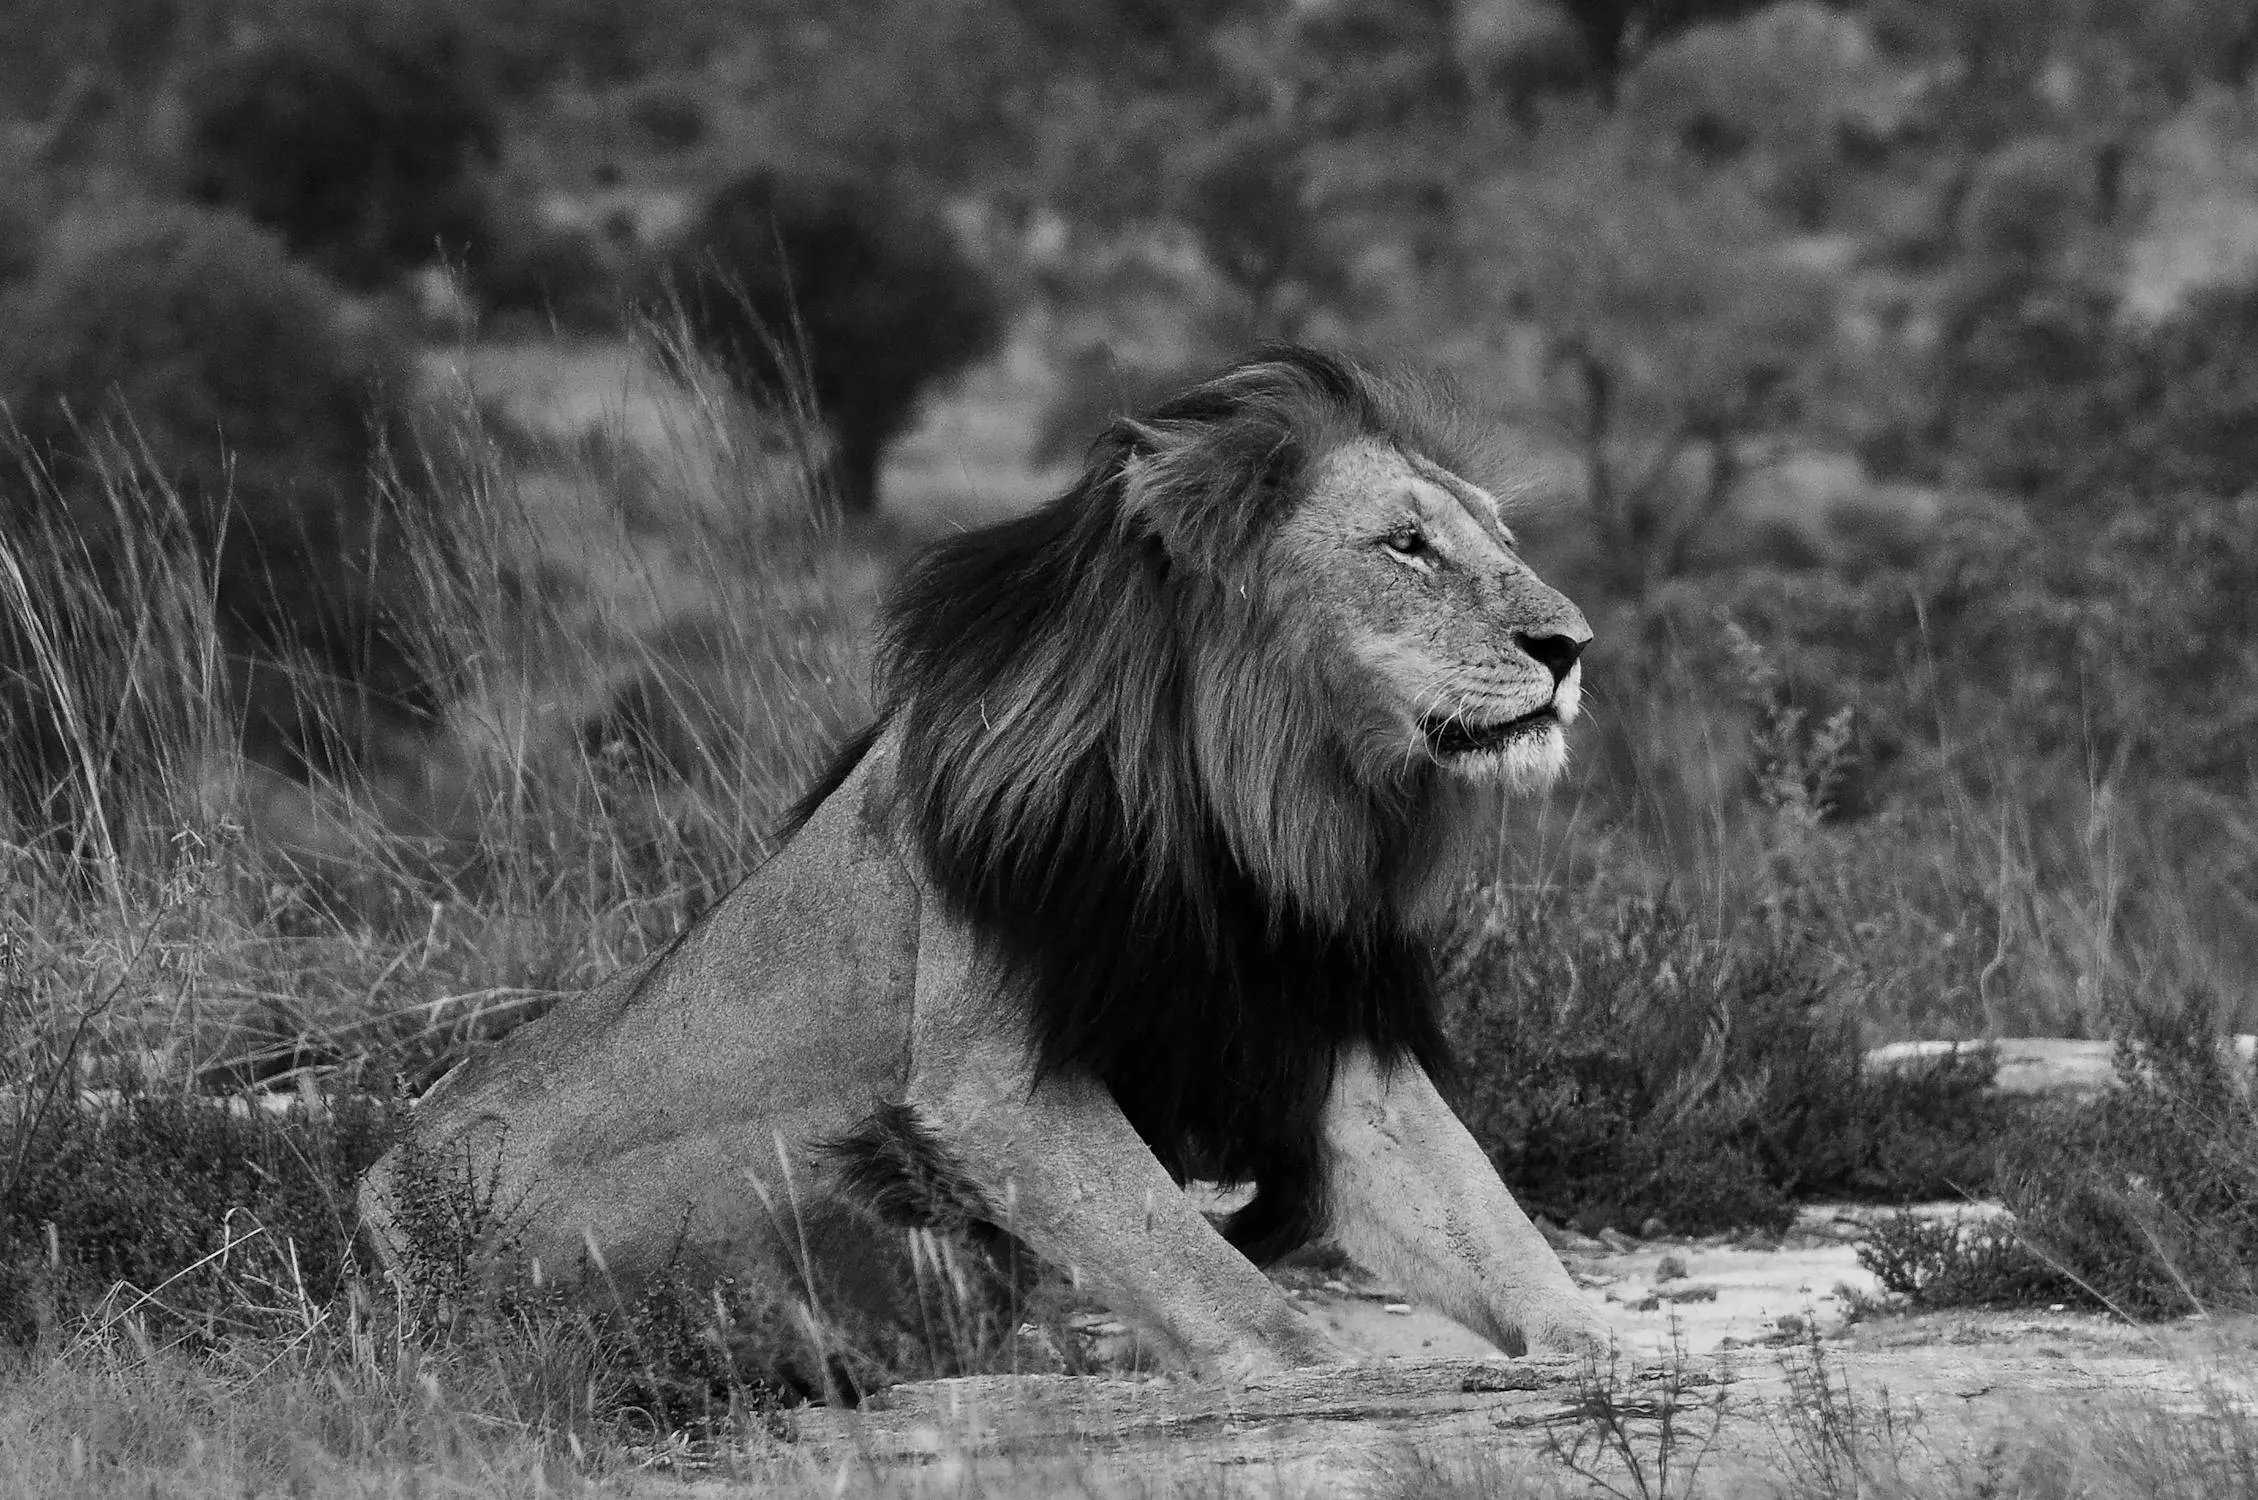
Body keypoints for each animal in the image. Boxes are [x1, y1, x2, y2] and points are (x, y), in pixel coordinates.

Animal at [359, 346, 1608, 1382]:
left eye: (1500, 539)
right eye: (1406, 546)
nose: (1570, 647)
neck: (1249, 822)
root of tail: (375, 1202)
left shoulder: (1313, 1031)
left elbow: (1487, 1217)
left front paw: (1597, 1349)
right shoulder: (993, 1086)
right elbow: (1204, 1273)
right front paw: (1328, 1372)